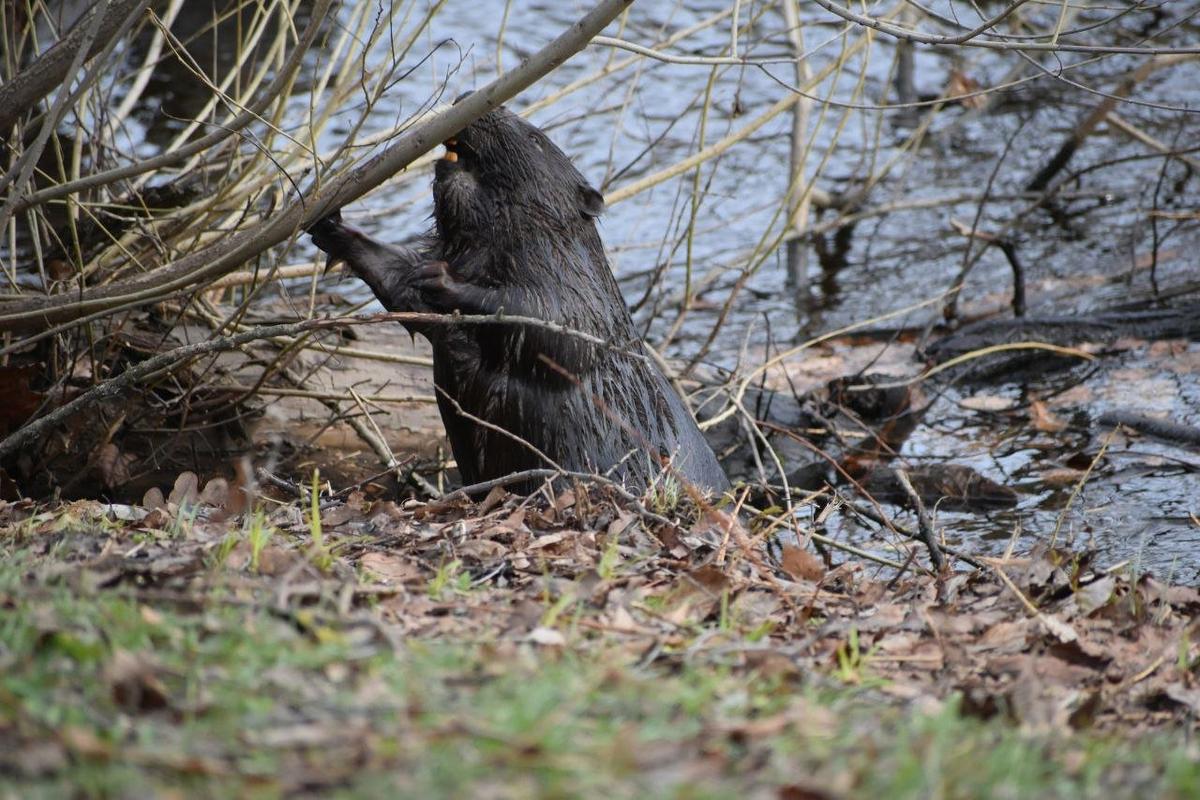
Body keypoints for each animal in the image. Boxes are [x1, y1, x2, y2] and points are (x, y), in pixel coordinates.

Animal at [304, 104, 724, 494]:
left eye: (536, 138)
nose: (464, 99)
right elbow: (398, 282)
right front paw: (327, 220)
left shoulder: (581, 290)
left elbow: (560, 330)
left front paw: (441, 279)